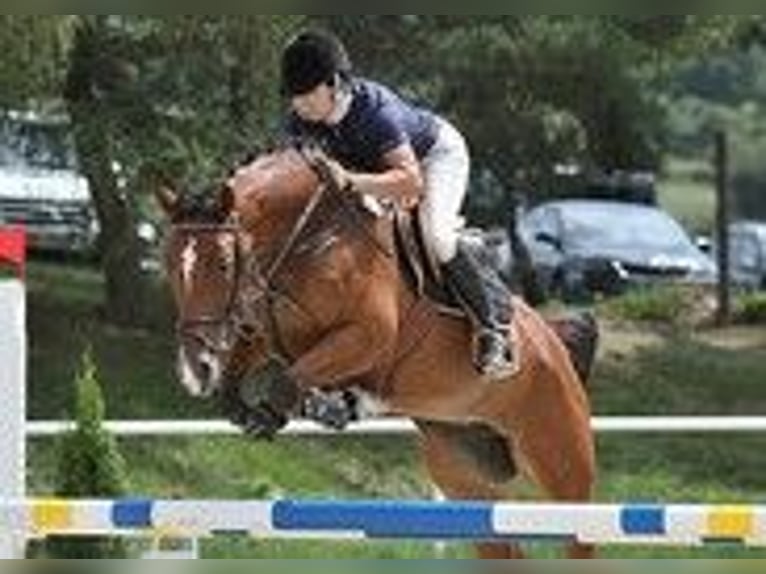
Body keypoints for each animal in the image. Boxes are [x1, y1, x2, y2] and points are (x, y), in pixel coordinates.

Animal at [157, 147, 597, 559]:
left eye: (222, 263)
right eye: (170, 265)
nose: (194, 368)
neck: (303, 240)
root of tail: (554, 340)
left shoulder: (368, 337)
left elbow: (285, 379)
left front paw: (309, 408)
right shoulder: (259, 327)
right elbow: (247, 376)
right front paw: (267, 406)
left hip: (560, 456)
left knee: (580, 534)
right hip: (463, 470)